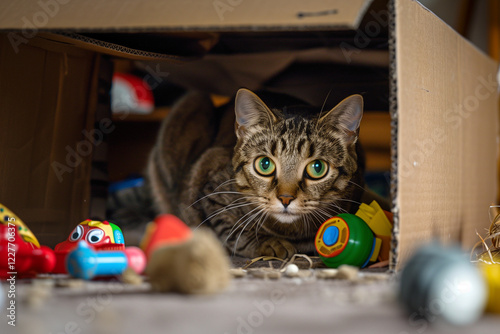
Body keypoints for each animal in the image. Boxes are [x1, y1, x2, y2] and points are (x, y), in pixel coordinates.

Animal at [146, 88, 370, 258]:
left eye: (317, 168)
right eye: (265, 164)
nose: (285, 198)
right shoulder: (208, 189)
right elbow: (234, 230)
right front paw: (270, 243)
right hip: (194, 100)